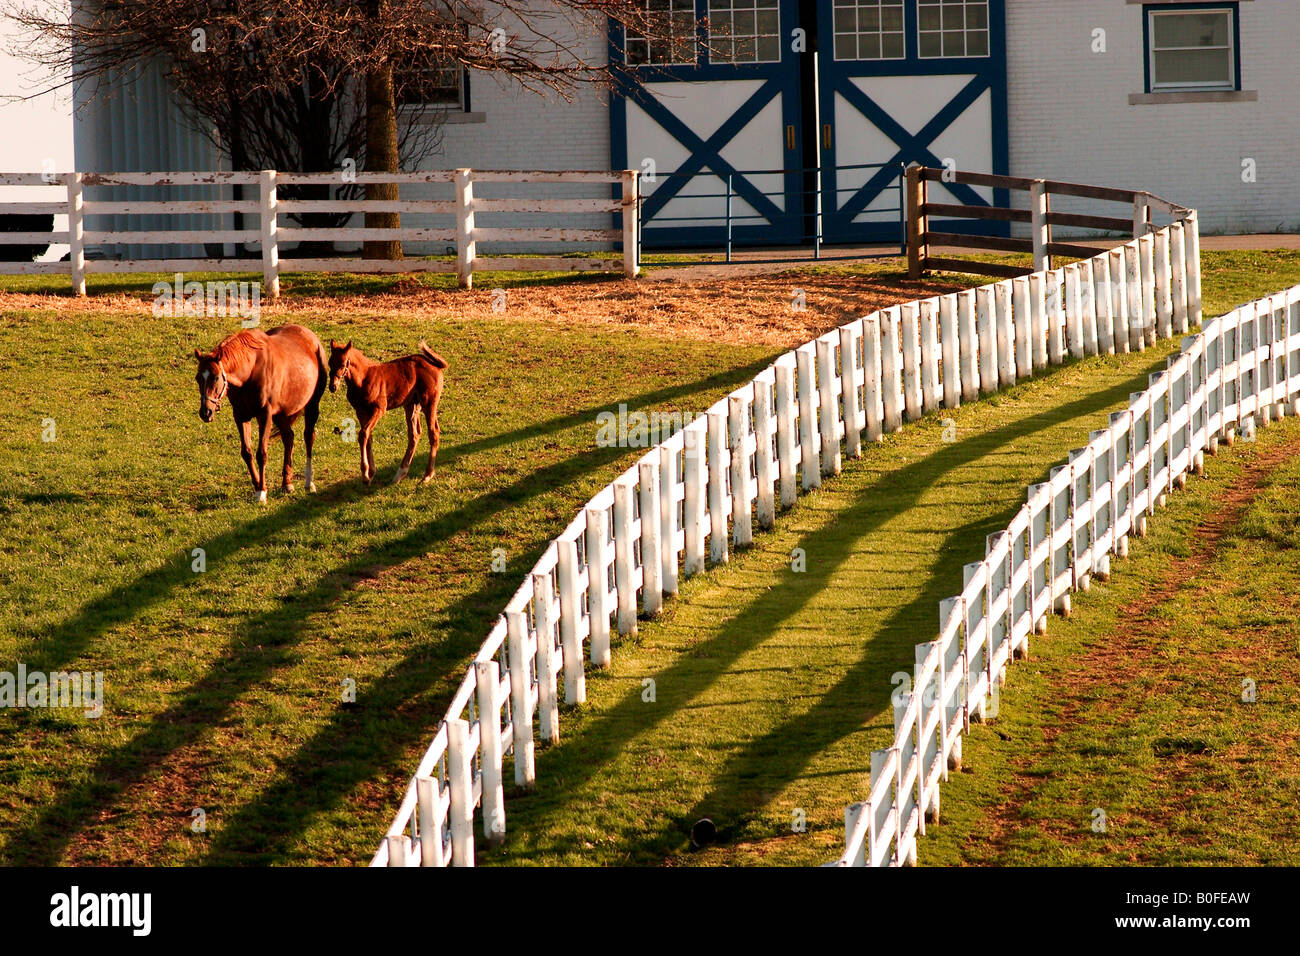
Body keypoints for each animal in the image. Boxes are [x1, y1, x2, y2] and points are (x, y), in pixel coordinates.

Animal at [193, 325, 328, 504]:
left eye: (215, 377)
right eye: (198, 378)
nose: (206, 412)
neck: (251, 370)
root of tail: (310, 336)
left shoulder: (265, 415)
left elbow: (261, 454)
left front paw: (262, 492)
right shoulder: (240, 416)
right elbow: (247, 452)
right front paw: (258, 485)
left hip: (312, 405)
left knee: (308, 437)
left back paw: (309, 483)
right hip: (281, 414)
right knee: (289, 438)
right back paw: (287, 483)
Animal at [327, 339, 448, 485]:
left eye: (343, 363)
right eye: (329, 362)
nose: (332, 387)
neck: (363, 378)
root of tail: (435, 365)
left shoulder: (379, 409)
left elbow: (363, 434)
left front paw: (365, 475)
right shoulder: (360, 411)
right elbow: (368, 437)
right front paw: (371, 473)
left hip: (429, 402)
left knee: (433, 432)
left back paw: (427, 475)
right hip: (411, 405)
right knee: (414, 434)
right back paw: (400, 474)